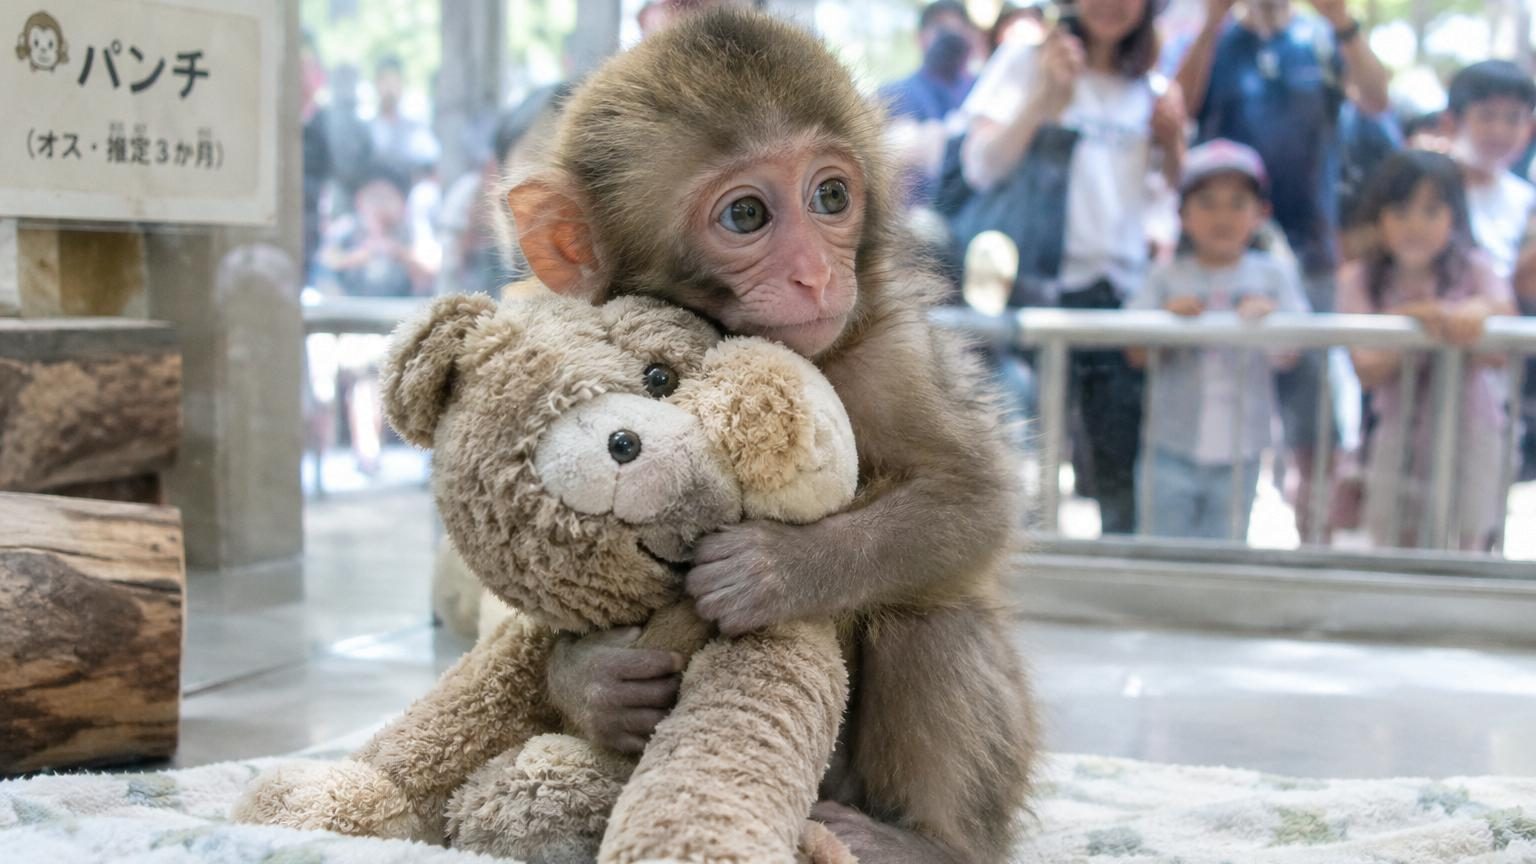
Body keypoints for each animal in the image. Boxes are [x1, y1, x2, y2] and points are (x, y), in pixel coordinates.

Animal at [502, 9, 1039, 863]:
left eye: (831, 196)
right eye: (747, 215)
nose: (817, 275)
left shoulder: (888, 355)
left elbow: (973, 495)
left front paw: (775, 571)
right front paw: (590, 679)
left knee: (931, 613)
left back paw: (925, 844)